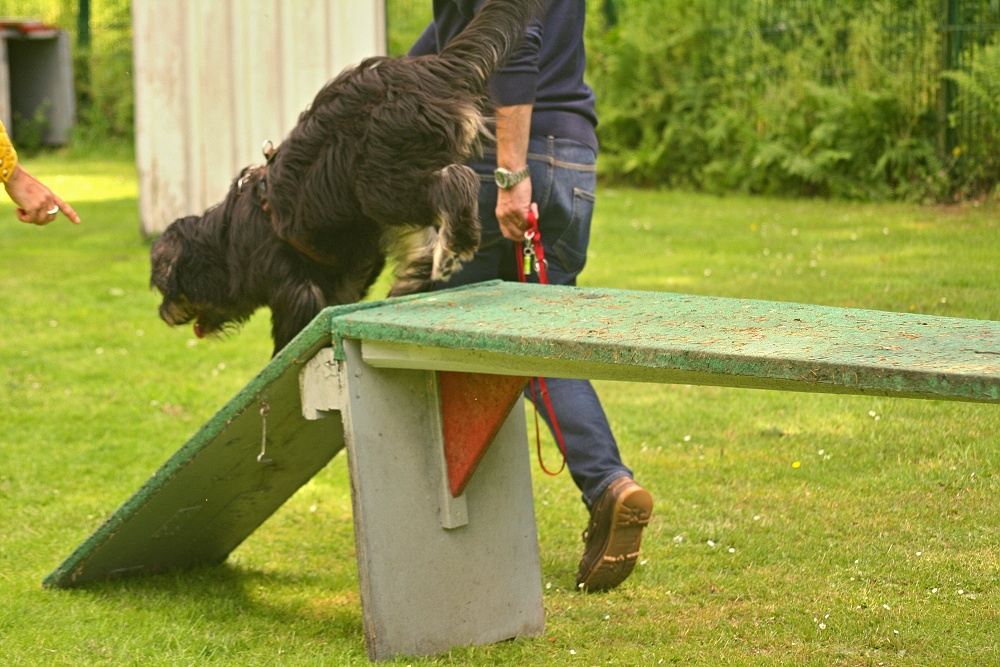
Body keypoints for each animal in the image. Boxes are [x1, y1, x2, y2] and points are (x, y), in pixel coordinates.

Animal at [154, 0, 548, 354]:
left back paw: (454, 246)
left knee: (454, 183)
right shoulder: (344, 276)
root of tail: (432, 68)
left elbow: (291, 329)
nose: (162, 314)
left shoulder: (291, 285)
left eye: (167, 289)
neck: (227, 240)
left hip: (380, 186)